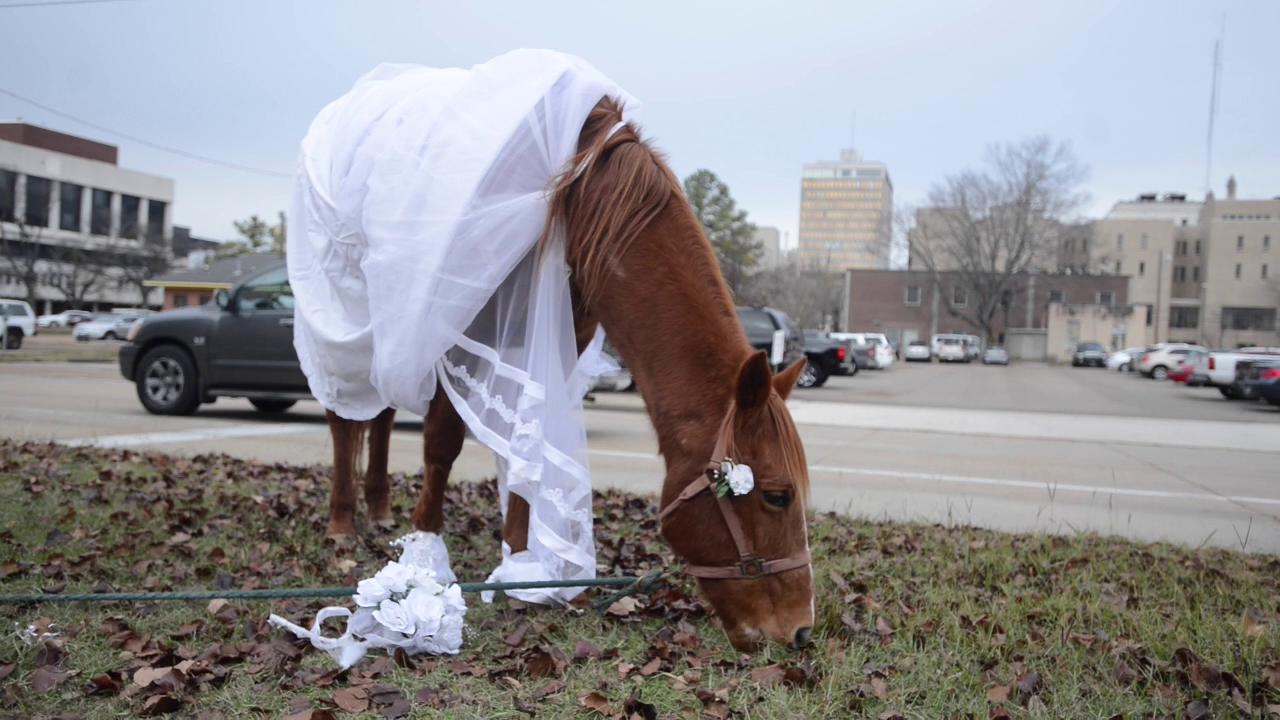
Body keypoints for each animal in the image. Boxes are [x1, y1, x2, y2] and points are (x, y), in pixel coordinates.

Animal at [325, 96, 814, 650]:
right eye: (777, 495)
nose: (800, 629)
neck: (582, 192)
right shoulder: (457, 330)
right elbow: (442, 444)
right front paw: (427, 555)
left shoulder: (558, 336)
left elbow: (527, 440)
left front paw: (520, 566)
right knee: (345, 416)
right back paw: (342, 519)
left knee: (380, 416)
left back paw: (378, 506)